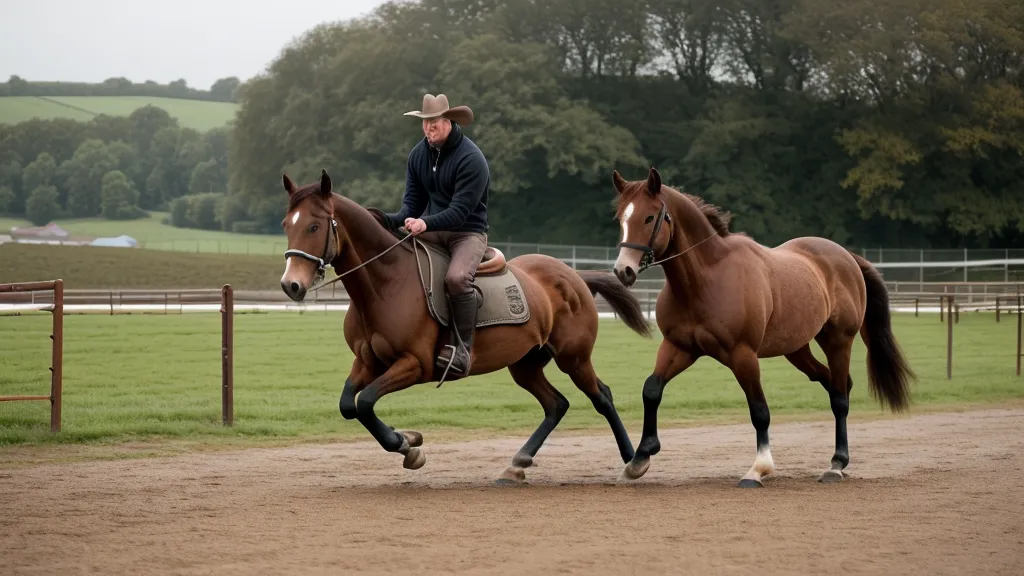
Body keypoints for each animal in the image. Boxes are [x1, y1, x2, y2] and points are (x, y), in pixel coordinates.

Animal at [278, 169, 653, 484]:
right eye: (286, 225)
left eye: (313, 227)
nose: (290, 285)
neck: (386, 284)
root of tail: (574, 276)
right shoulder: (368, 362)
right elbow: (349, 405)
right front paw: (407, 437)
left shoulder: (414, 365)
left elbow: (366, 402)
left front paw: (408, 447)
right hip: (526, 364)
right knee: (556, 404)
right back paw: (517, 464)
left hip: (574, 358)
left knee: (601, 397)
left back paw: (633, 460)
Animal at [609, 167, 915, 487]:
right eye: (620, 218)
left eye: (649, 217)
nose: (623, 270)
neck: (706, 279)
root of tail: (846, 257)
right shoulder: (679, 347)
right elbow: (651, 389)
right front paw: (639, 458)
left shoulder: (742, 355)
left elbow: (759, 411)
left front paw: (759, 468)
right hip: (797, 350)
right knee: (834, 384)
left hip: (838, 342)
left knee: (840, 398)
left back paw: (836, 463)